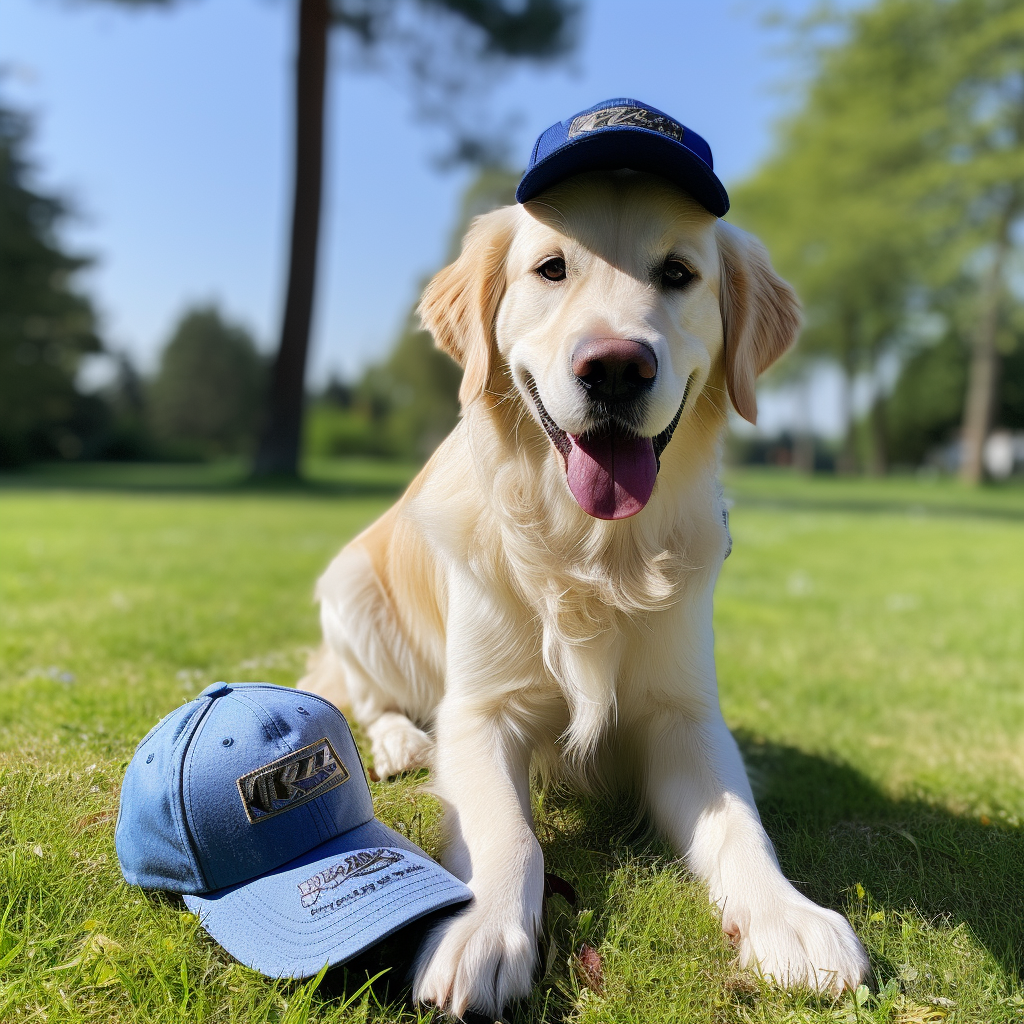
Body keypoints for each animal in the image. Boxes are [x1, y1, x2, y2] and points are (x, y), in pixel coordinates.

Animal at [299, 169, 868, 1015]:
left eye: (678, 272)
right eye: (551, 269)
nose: (616, 367)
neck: (595, 555)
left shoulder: (683, 716)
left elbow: (741, 824)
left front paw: (787, 917)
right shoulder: (481, 712)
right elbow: (508, 831)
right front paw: (482, 932)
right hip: (352, 587)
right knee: (363, 696)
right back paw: (401, 741)